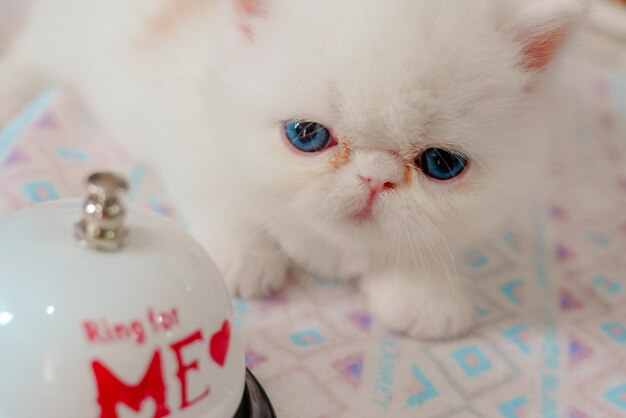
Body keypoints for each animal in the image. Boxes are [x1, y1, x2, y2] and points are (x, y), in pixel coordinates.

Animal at [1, 0, 584, 340]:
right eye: (307, 136)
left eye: (441, 165)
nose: (375, 178)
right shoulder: (184, 123)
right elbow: (224, 192)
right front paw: (241, 258)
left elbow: (423, 245)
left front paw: (425, 295)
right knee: (28, 56)